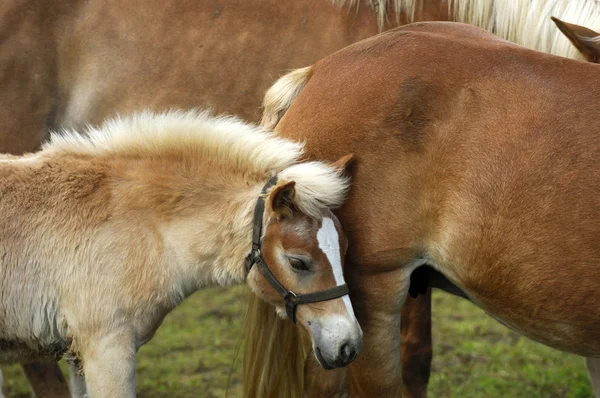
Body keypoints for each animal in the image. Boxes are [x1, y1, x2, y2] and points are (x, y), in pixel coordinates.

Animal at [0, 110, 360, 396]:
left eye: (344, 248)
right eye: (298, 262)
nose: (349, 345)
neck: (137, 226)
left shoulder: (78, 355)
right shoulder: (107, 348)